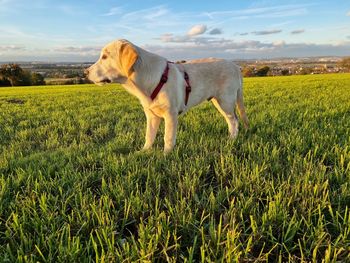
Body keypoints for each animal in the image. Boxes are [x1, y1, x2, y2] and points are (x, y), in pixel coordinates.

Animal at [86, 40, 247, 154]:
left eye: (105, 57)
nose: (85, 72)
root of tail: (235, 66)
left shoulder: (171, 114)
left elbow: (168, 138)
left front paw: (166, 156)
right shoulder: (151, 115)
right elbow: (149, 135)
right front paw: (144, 151)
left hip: (225, 101)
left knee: (234, 121)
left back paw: (232, 140)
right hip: (219, 102)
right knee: (232, 120)